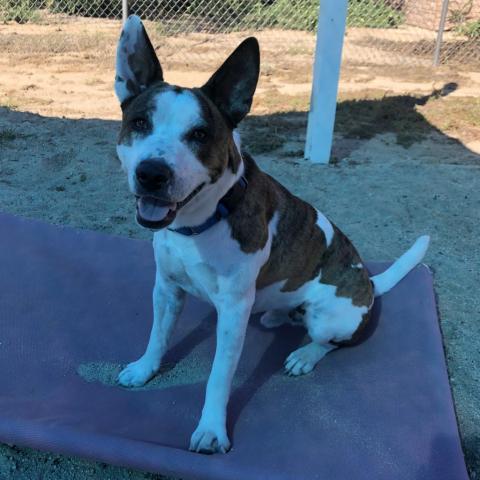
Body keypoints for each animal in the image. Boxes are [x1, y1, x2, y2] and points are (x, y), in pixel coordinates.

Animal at [114, 15, 430, 454]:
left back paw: (305, 355)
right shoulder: (166, 289)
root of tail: (368, 283)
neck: (201, 222)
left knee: (329, 341)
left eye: (200, 135)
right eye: (140, 123)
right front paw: (145, 369)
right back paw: (278, 313)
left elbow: (219, 377)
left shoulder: (232, 313)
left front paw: (211, 429)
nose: (152, 173)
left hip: (329, 318)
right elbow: (157, 336)